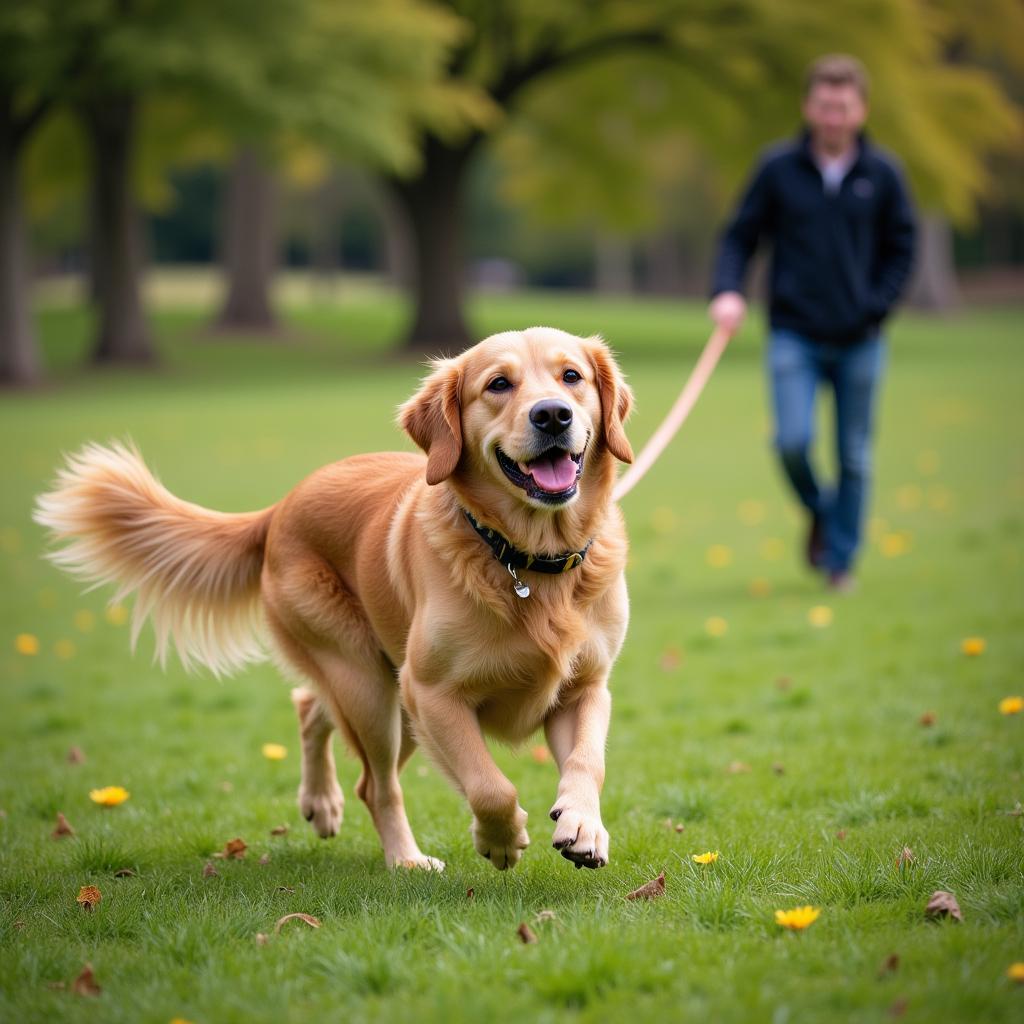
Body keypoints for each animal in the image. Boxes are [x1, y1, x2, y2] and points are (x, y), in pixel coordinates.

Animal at [34, 327, 630, 872]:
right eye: (499, 384)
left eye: (571, 377)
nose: (552, 415)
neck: (529, 559)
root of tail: (279, 507)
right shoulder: (432, 693)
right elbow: (490, 786)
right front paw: (501, 839)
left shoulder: (585, 688)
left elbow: (588, 762)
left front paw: (583, 827)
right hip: (372, 686)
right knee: (374, 782)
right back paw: (405, 859)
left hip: (384, 694)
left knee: (311, 707)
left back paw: (321, 802)